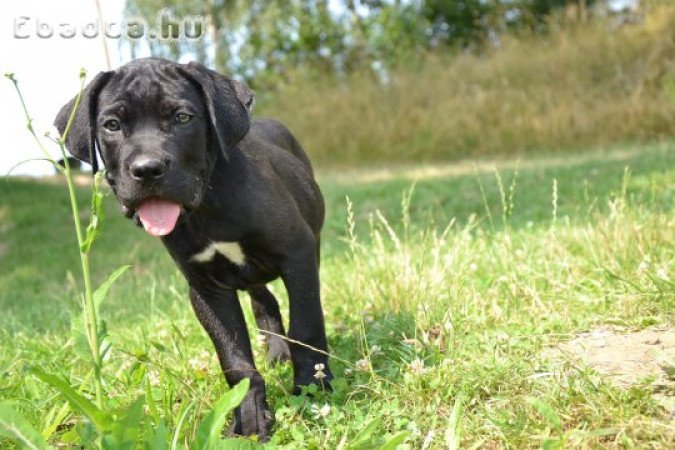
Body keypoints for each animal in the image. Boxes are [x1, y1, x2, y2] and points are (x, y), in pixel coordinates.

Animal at [54, 57, 332, 440]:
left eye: (182, 117)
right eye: (111, 125)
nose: (147, 169)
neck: (207, 209)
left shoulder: (298, 256)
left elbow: (306, 327)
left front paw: (313, 390)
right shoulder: (206, 289)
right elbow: (235, 361)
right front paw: (248, 419)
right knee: (265, 304)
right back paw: (276, 354)